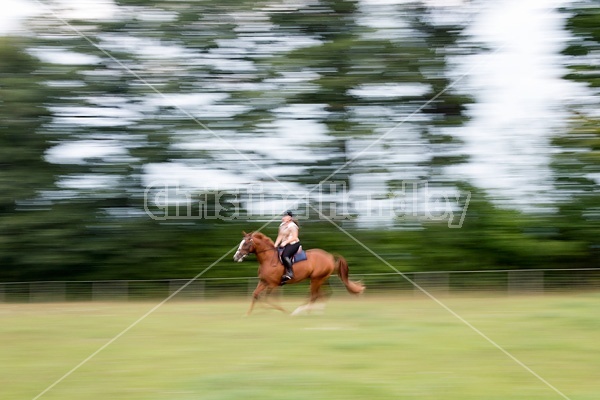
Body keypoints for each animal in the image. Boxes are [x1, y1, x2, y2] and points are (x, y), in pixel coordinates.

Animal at [233, 231, 366, 316]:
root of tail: (330, 256)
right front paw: (248, 314)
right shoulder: (263, 282)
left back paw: (299, 311)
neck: (268, 259)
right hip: (320, 280)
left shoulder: (272, 284)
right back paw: (316, 311)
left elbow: (267, 299)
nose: (236, 257)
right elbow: (255, 295)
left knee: (314, 295)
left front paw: (282, 311)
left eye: (245, 243)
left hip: (316, 279)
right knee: (323, 294)